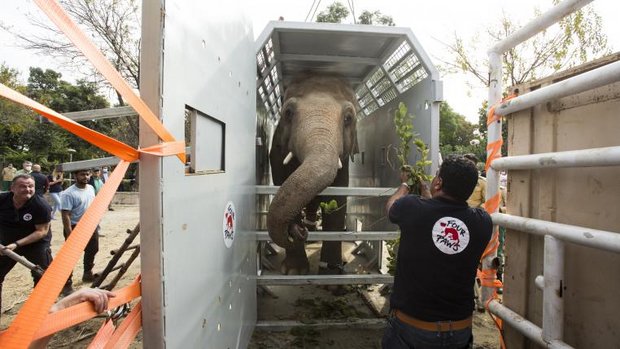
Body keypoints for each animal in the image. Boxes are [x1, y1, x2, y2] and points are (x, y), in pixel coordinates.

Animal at [266, 74, 358, 274]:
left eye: (348, 118)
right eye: (288, 113)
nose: (300, 232)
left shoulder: (344, 162)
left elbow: (337, 201)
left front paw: (331, 273)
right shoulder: (276, 154)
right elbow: (282, 185)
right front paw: (294, 272)